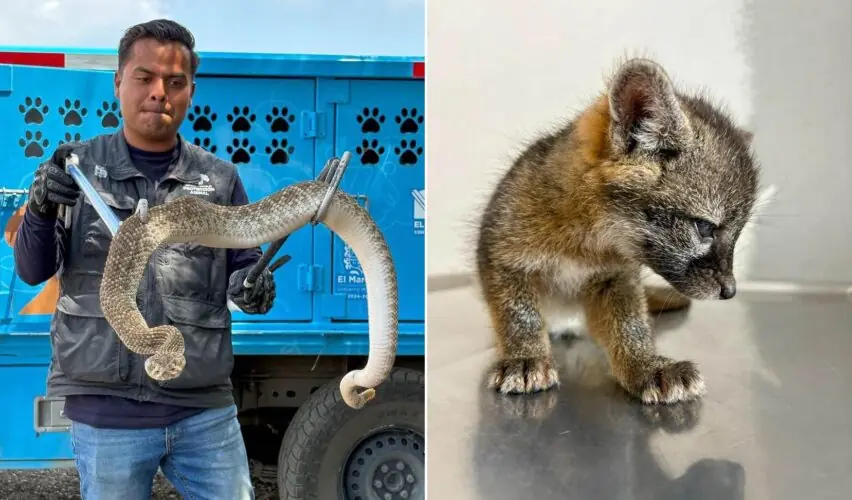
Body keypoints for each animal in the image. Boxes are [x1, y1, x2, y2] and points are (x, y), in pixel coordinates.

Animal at [474, 57, 760, 404]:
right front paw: (524, 357)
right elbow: (518, 315)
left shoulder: (617, 279)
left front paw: (646, 365)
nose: (730, 291)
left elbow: (630, 327)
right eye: (705, 227)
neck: (583, 244)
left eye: (738, 231)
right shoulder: (500, 255)